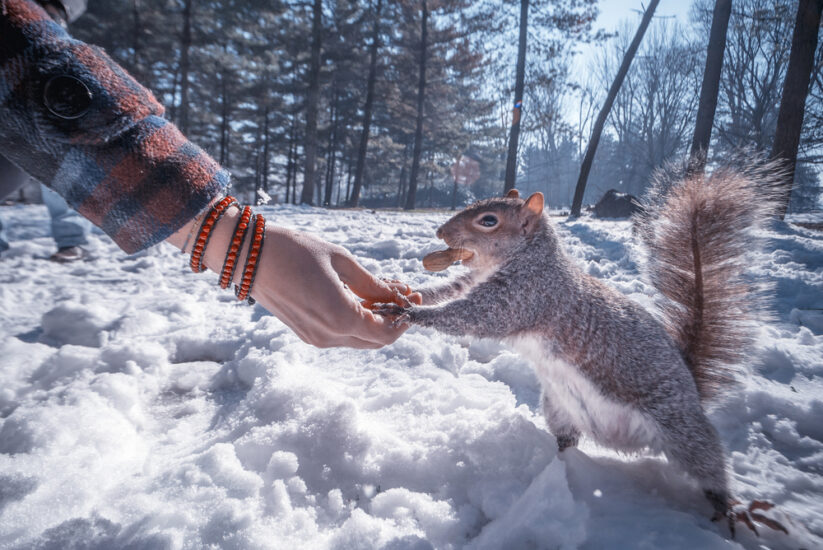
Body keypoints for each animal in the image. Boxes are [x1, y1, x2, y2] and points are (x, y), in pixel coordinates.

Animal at [376, 165, 784, 536]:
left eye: (488, 221)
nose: (440, 233)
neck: (527, 259)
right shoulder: (471, 281)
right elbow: (447, 291)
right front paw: (404, 290)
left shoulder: (525, 298)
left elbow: (470, 317)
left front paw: (410, 312)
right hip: (560, 407)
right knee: (568, 440)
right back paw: (559, 464)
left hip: (681, 426)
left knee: (707, 464)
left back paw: (730, 509)